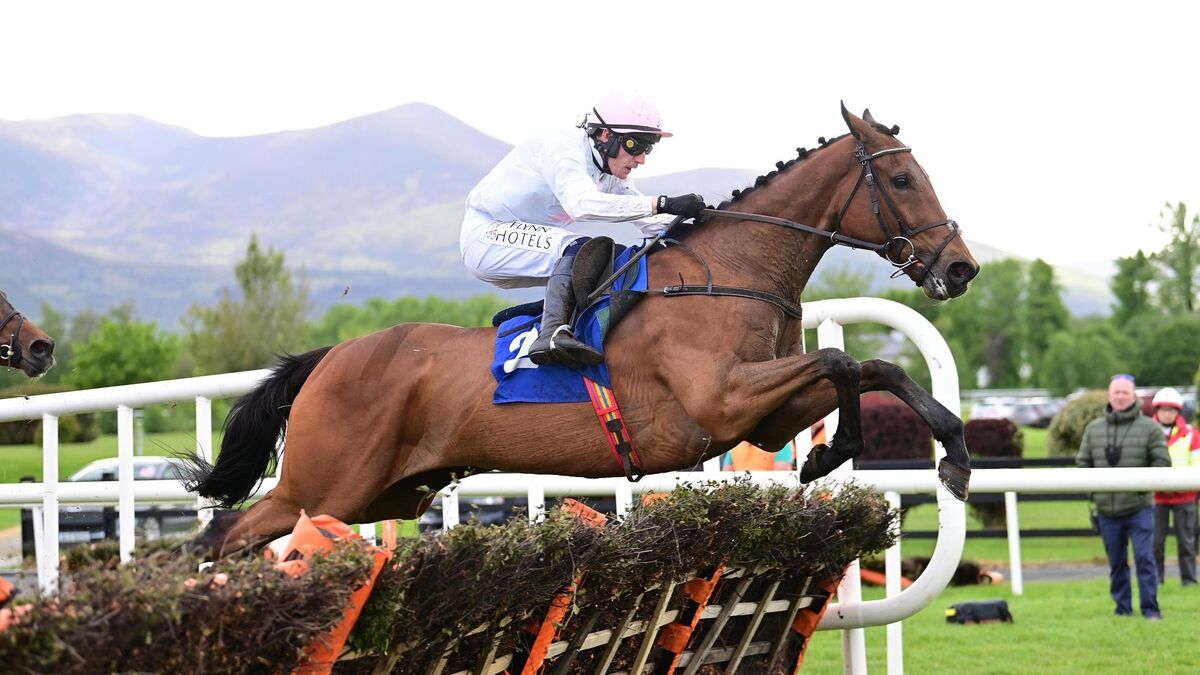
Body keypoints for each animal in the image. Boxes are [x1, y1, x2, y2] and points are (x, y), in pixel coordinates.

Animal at [181, 105, 980, 558]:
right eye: (903, 180)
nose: (962, 266)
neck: (727, 270)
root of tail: (328, 360)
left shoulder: (762, 412)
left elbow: (873, 369)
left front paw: (949, 453)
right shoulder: (720, 401)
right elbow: (846, 363)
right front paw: (838, 452)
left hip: (383, 494)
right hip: (322, 485)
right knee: (220, 535)